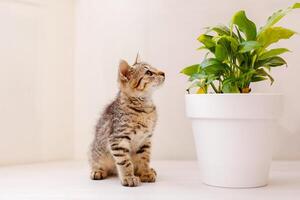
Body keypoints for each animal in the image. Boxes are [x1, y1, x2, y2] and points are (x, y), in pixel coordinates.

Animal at [89, 54, 164, 186]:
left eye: (154, 68)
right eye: (148, 72)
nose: (164, 73)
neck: (144, 107)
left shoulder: (145, 139)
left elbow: (144, 158)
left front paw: (145, 172)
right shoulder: (118, 138)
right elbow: (125, 162)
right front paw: (129, 177)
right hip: (97, 151)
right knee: (95, 160)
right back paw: (97, 170)